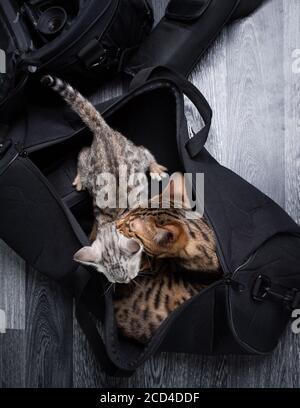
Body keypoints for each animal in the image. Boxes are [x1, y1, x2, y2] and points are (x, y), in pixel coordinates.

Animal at [42, 74, 168, 284]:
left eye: (130, 274)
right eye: (116, 281)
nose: (127, 283)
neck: (114, 220)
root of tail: (103, 131)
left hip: (135, 154)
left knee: (144, 152)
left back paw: (156, 168)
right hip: (91, 162)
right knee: (83, 152)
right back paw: (80, 178)